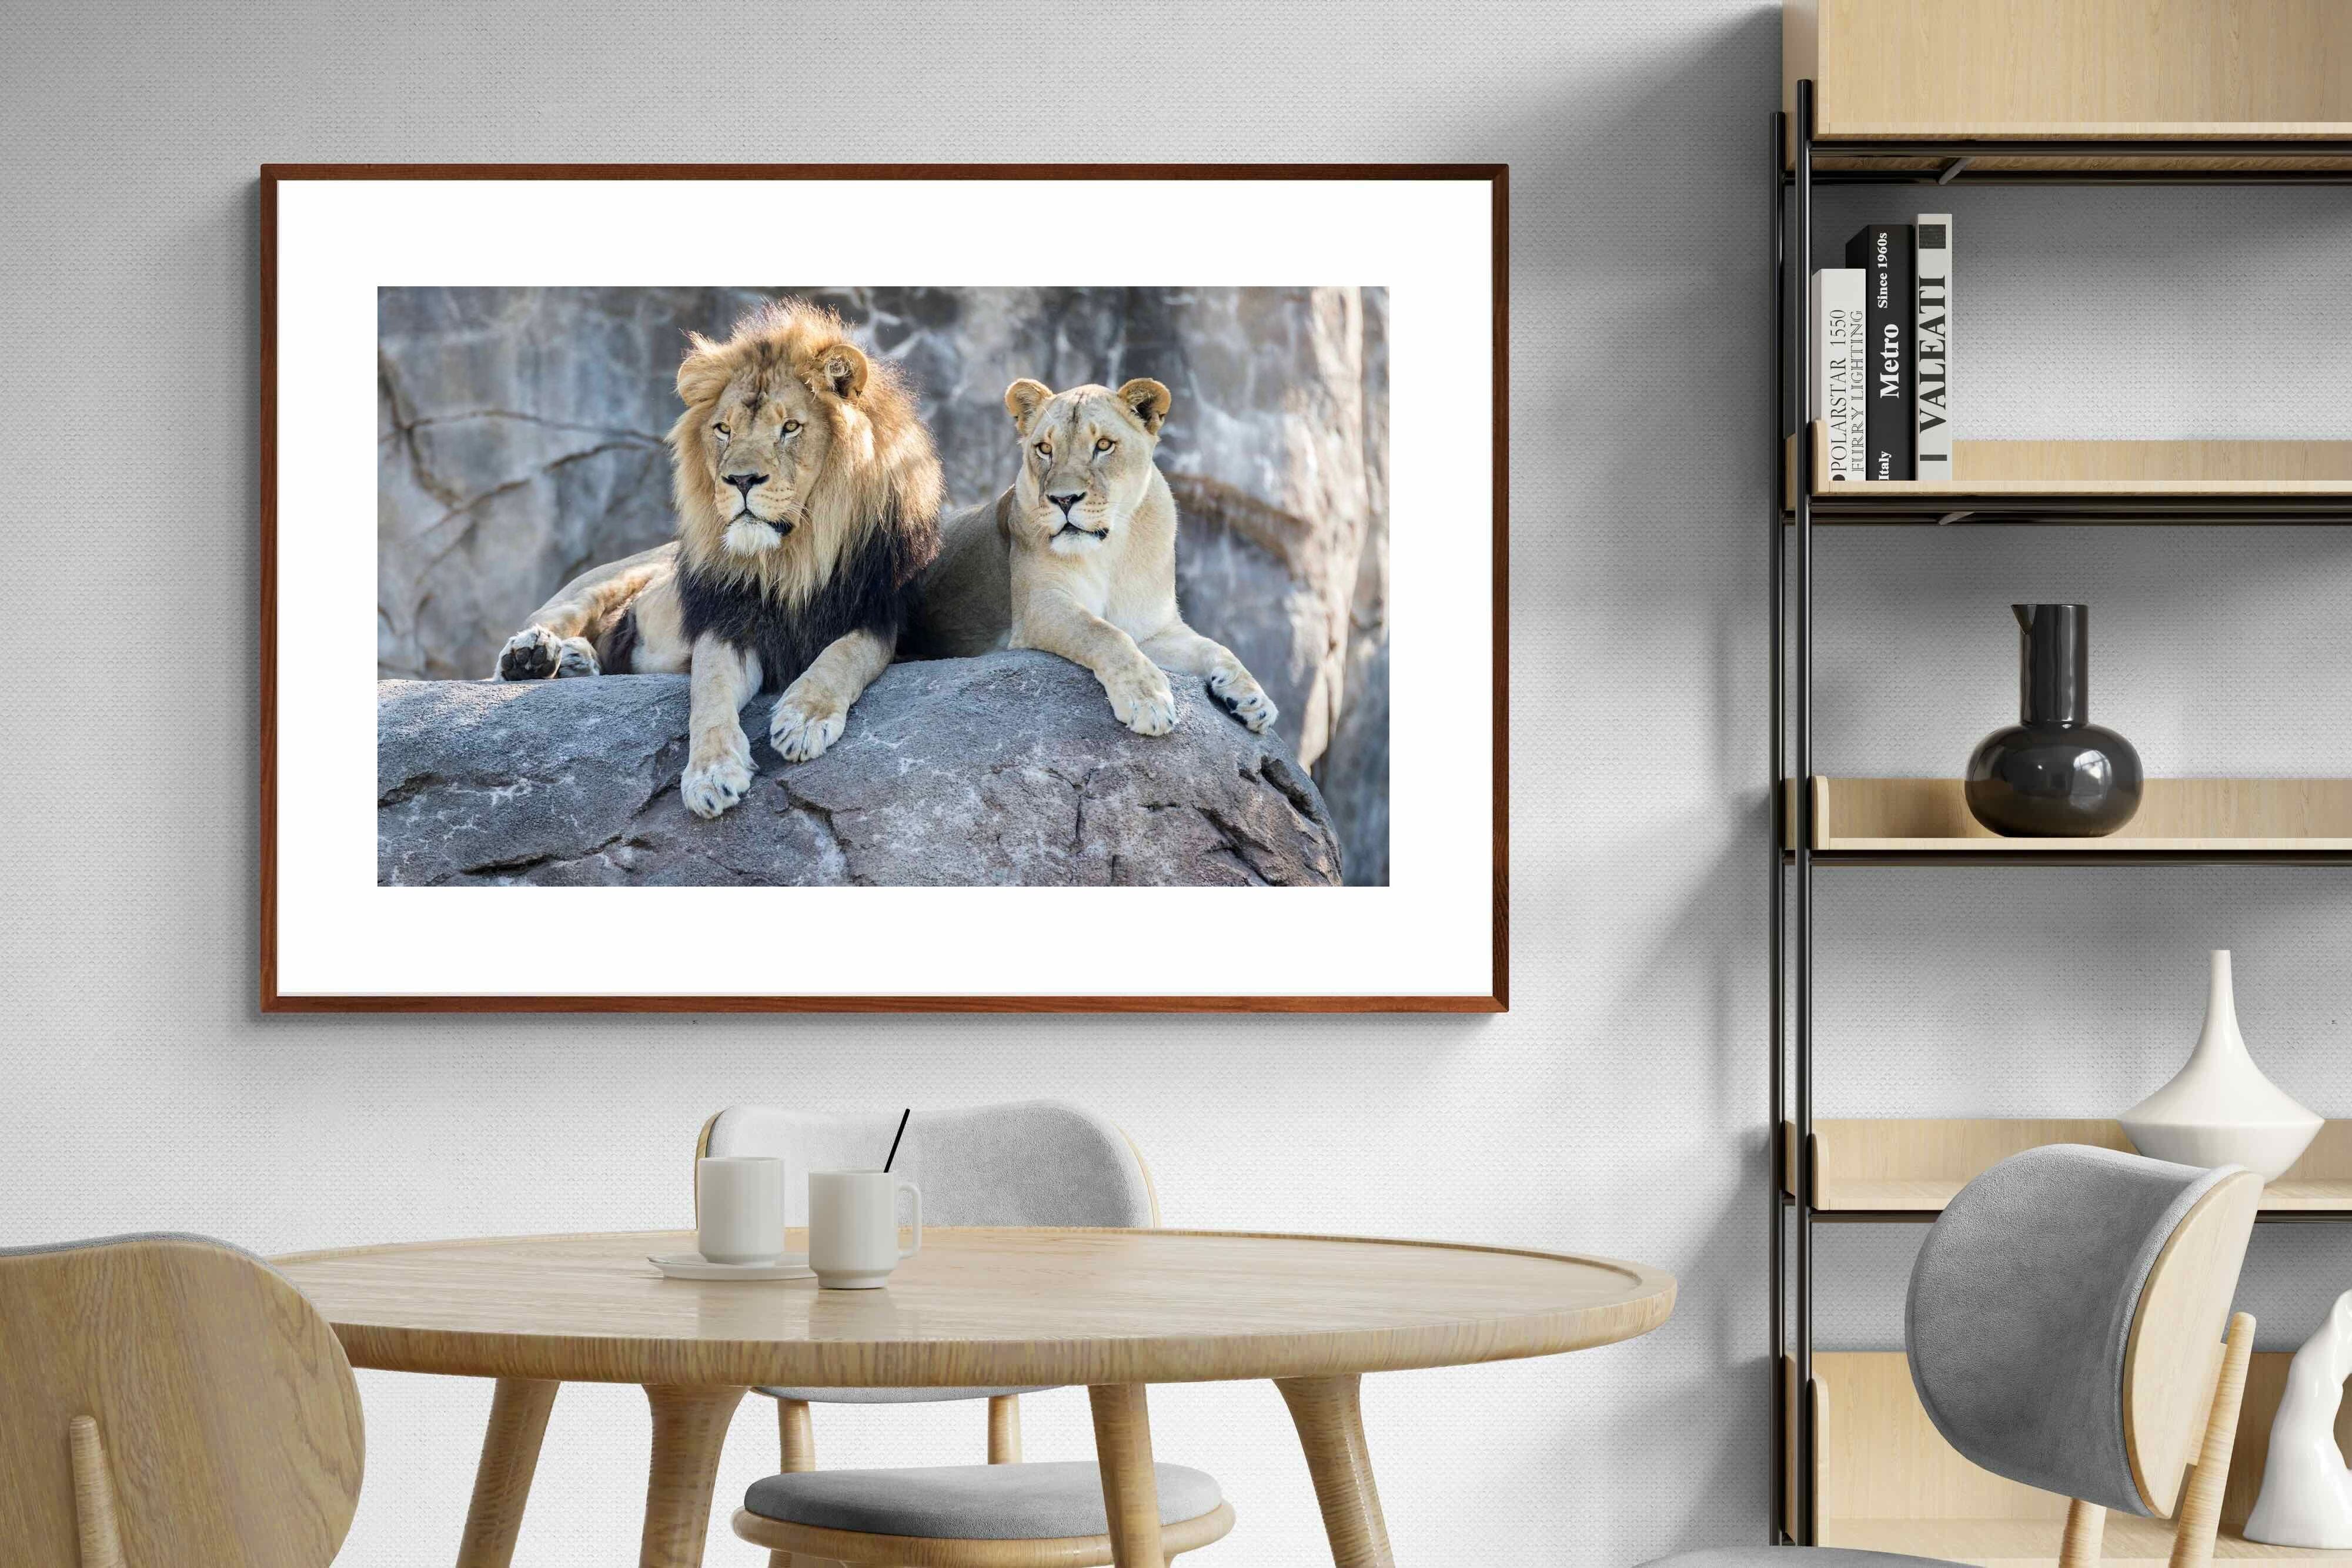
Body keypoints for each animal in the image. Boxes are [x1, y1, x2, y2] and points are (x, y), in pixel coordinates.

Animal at [491, 300, 943, 819]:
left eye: (790, 427)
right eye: (723, 429)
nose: (741, 480)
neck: (792, 559)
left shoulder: (880, 615)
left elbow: (844, 655)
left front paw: (803, 719)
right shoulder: (727, 622)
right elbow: (708, 692)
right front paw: (710, 774)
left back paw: (575, 661)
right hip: (603, 581)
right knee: (542, 626)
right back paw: (532, 656)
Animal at [905, 377, 1276, 739]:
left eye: (1104, 445)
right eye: (1045, 449)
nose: (1063, 499)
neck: (1111, 550)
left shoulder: (1154, 630)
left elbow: (1215, 648)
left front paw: (1253, 699)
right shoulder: (1040, 606)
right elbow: (1104, 634)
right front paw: (1147, 700)